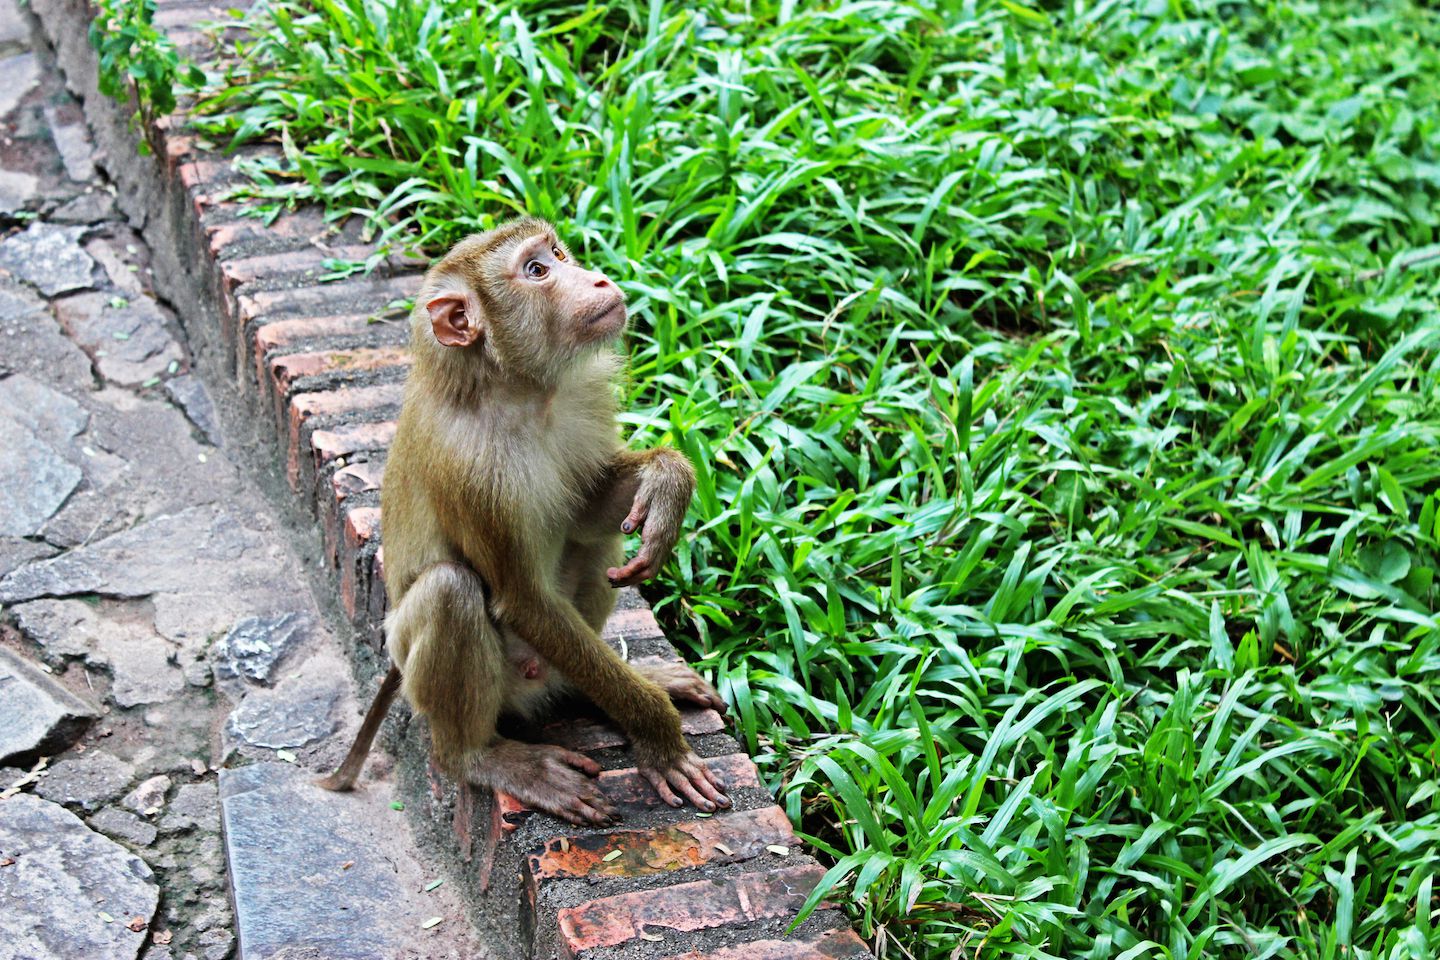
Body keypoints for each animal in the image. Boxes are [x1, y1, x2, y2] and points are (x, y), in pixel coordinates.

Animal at [318, 218, 729, 826]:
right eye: (536, 271)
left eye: (558, 254)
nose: (597, 277)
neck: (513, 390)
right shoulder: (470, 470)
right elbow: (523, 599)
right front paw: (658, 734)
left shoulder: (582, 399)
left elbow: (588, 512)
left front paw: (667, 481)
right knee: (450, 591)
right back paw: (480, 757)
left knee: (593, 548)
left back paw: (587, 690)